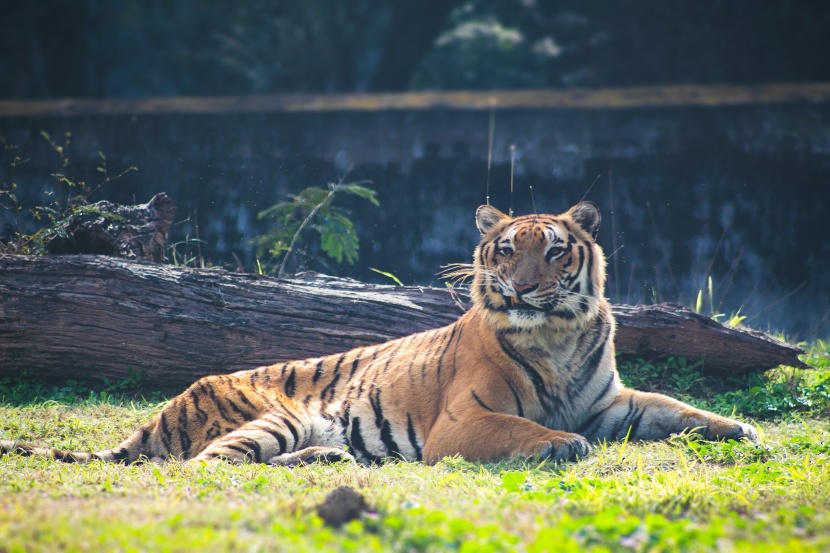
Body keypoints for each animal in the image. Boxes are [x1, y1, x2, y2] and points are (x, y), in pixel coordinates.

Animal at [0, 201, 760, 464]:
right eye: (504, 250)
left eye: (553, 251)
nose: (519, 288)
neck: (556, 336)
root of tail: (174, 401)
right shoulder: (466, 422)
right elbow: (526, 428)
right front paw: (562, 443)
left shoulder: (611, 403)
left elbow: (678, 408)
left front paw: (743, 428)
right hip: (269, 417)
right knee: (206, 463)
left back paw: (329, 462)